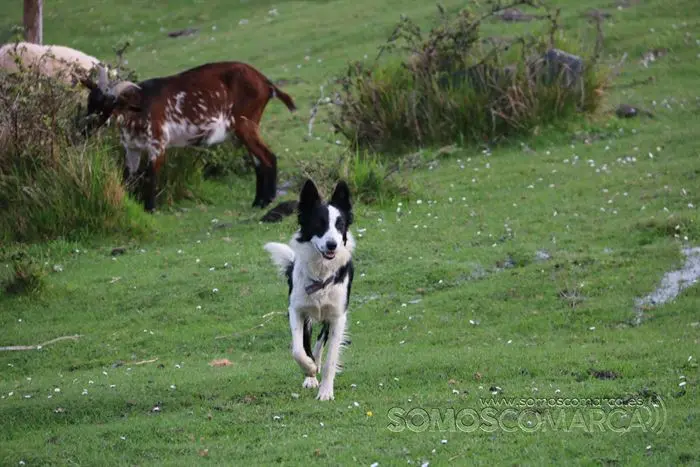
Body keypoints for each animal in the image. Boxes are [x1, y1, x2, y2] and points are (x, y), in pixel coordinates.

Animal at [81, 61, 296, 211]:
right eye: (90, 102)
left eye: (109, 106)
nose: (86, 128)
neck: (140, 106)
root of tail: (266, 83)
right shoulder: (132, 148)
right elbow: (128, 177)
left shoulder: (157, 144)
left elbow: (151, 175)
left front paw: (150, 209)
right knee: (258, 161)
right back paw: (258, 202)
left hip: (245, 123)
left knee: (268, 157)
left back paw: (267, 201)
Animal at [266, 179, 358, 402]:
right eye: (319, 224)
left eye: (340, 225)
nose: (332, 245)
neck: (321, 273)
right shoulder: (297, 310)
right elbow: (298, 350)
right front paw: (309, 370)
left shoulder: (337, 316)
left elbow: (330, 359)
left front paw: (325, 392)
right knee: (308, 344)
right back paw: (311, 374)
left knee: (319, 343)